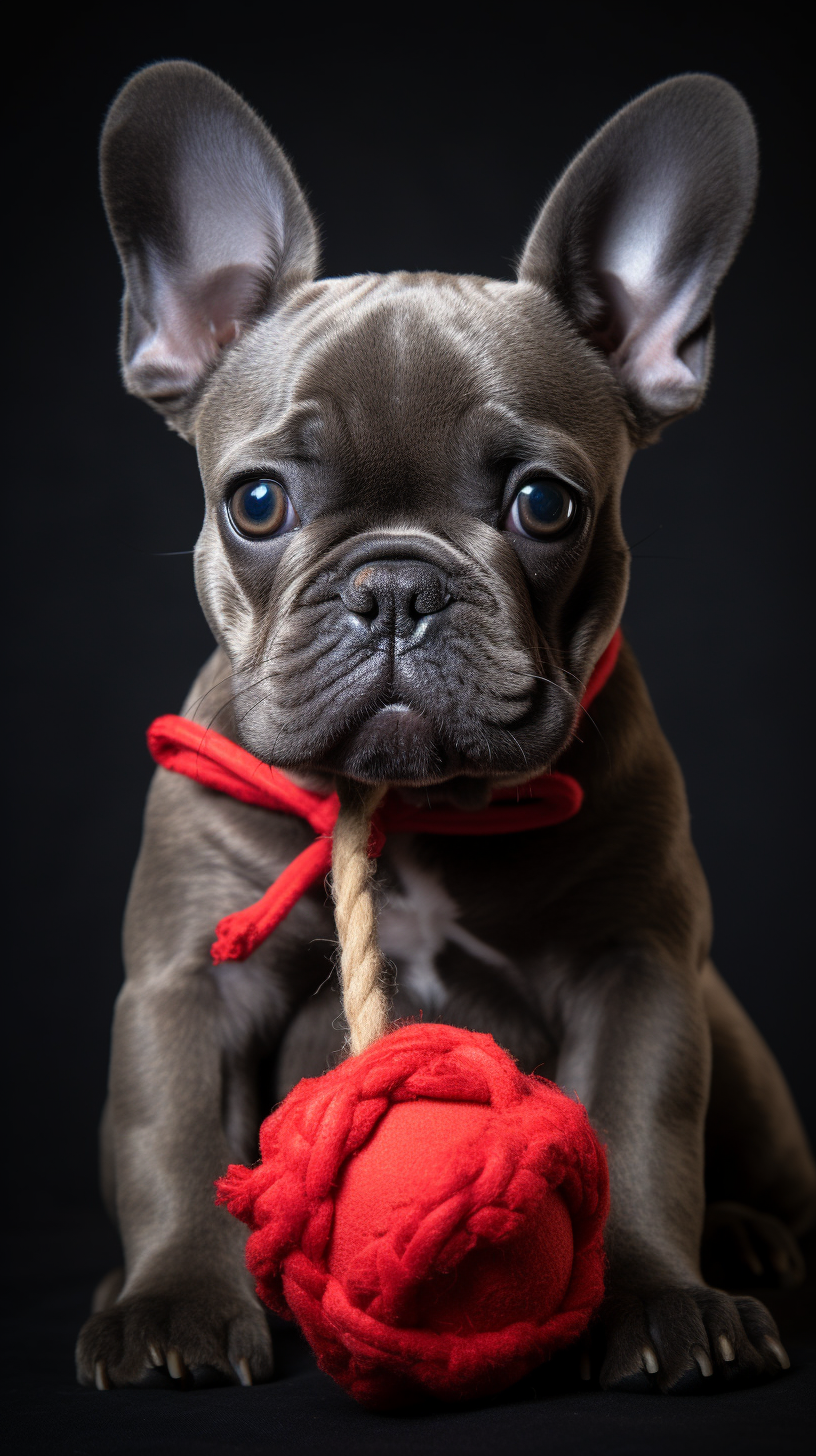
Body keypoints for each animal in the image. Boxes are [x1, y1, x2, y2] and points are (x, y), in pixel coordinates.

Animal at [77, 65, 816, 1397]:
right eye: (255, 501)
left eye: (545, 505)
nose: (395, 587)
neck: (410, 810)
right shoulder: (184, 983)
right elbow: (170, 1137)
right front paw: (170, 1302)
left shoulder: (639, 970)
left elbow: (639, 1128)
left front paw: (658, 1300)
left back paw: (743, 1238)